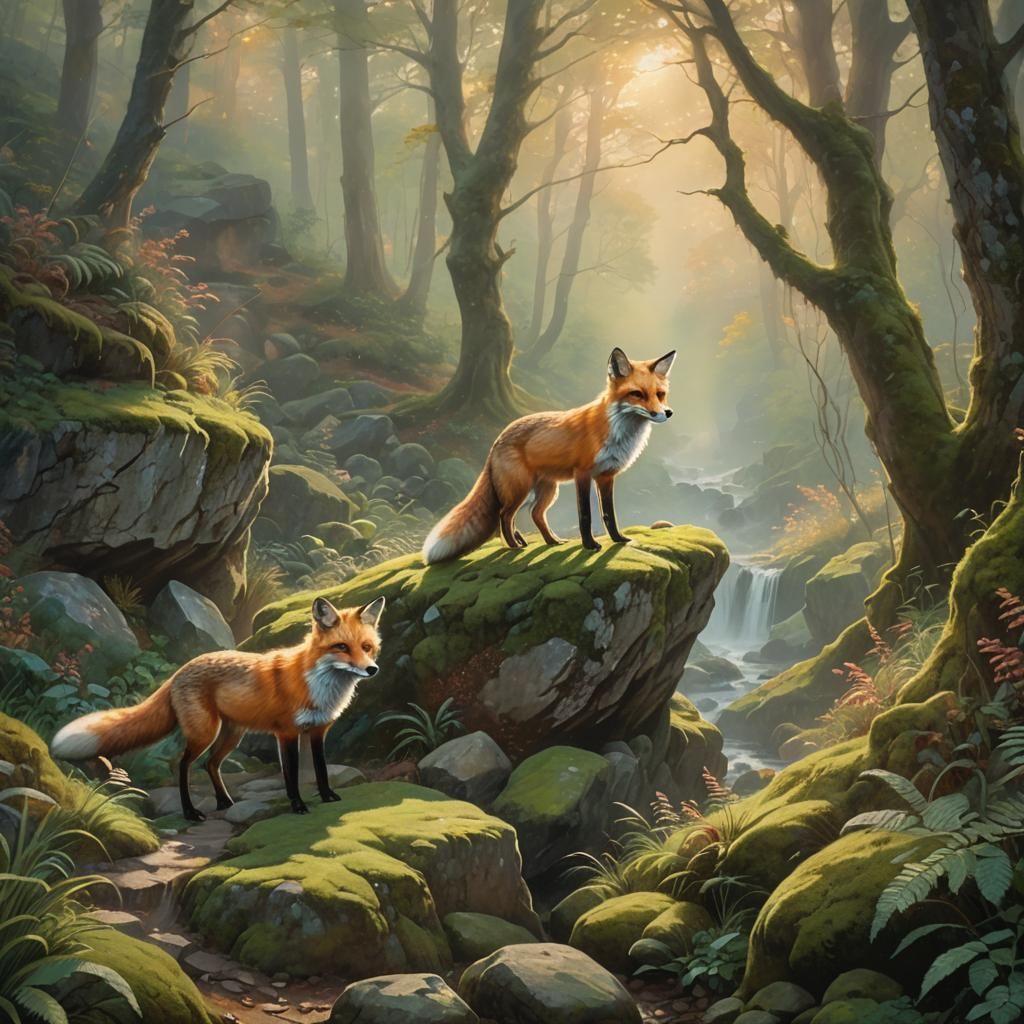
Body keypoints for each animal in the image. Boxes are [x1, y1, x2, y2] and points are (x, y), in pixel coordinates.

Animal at [50, 596, 385, 820]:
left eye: (367, 647)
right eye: (341, 647)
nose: (372, 670)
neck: (318, 684)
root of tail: (181, 669)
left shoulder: (317, 731)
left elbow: (321, 769)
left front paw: (327, 797)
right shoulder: (287, 733)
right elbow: (290, 775)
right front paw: (298, 806)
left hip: (231, 735)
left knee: (211, 763)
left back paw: (224, 801)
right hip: (205, 732)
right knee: (182, 764)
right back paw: (190, 811)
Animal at [422, 347, 676, 563]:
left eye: (660, 394)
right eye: (637, 394)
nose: (667, 413)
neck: (617, 431)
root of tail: (498, 438)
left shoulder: (606, 476)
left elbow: (609, 515)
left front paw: (618, 539)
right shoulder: (583, 474)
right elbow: (585, 515)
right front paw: (589, 545)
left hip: (546, 489)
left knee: (535, 514)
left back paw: (551, 541)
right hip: (520, 488)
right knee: (505, 515)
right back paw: (514, 545)